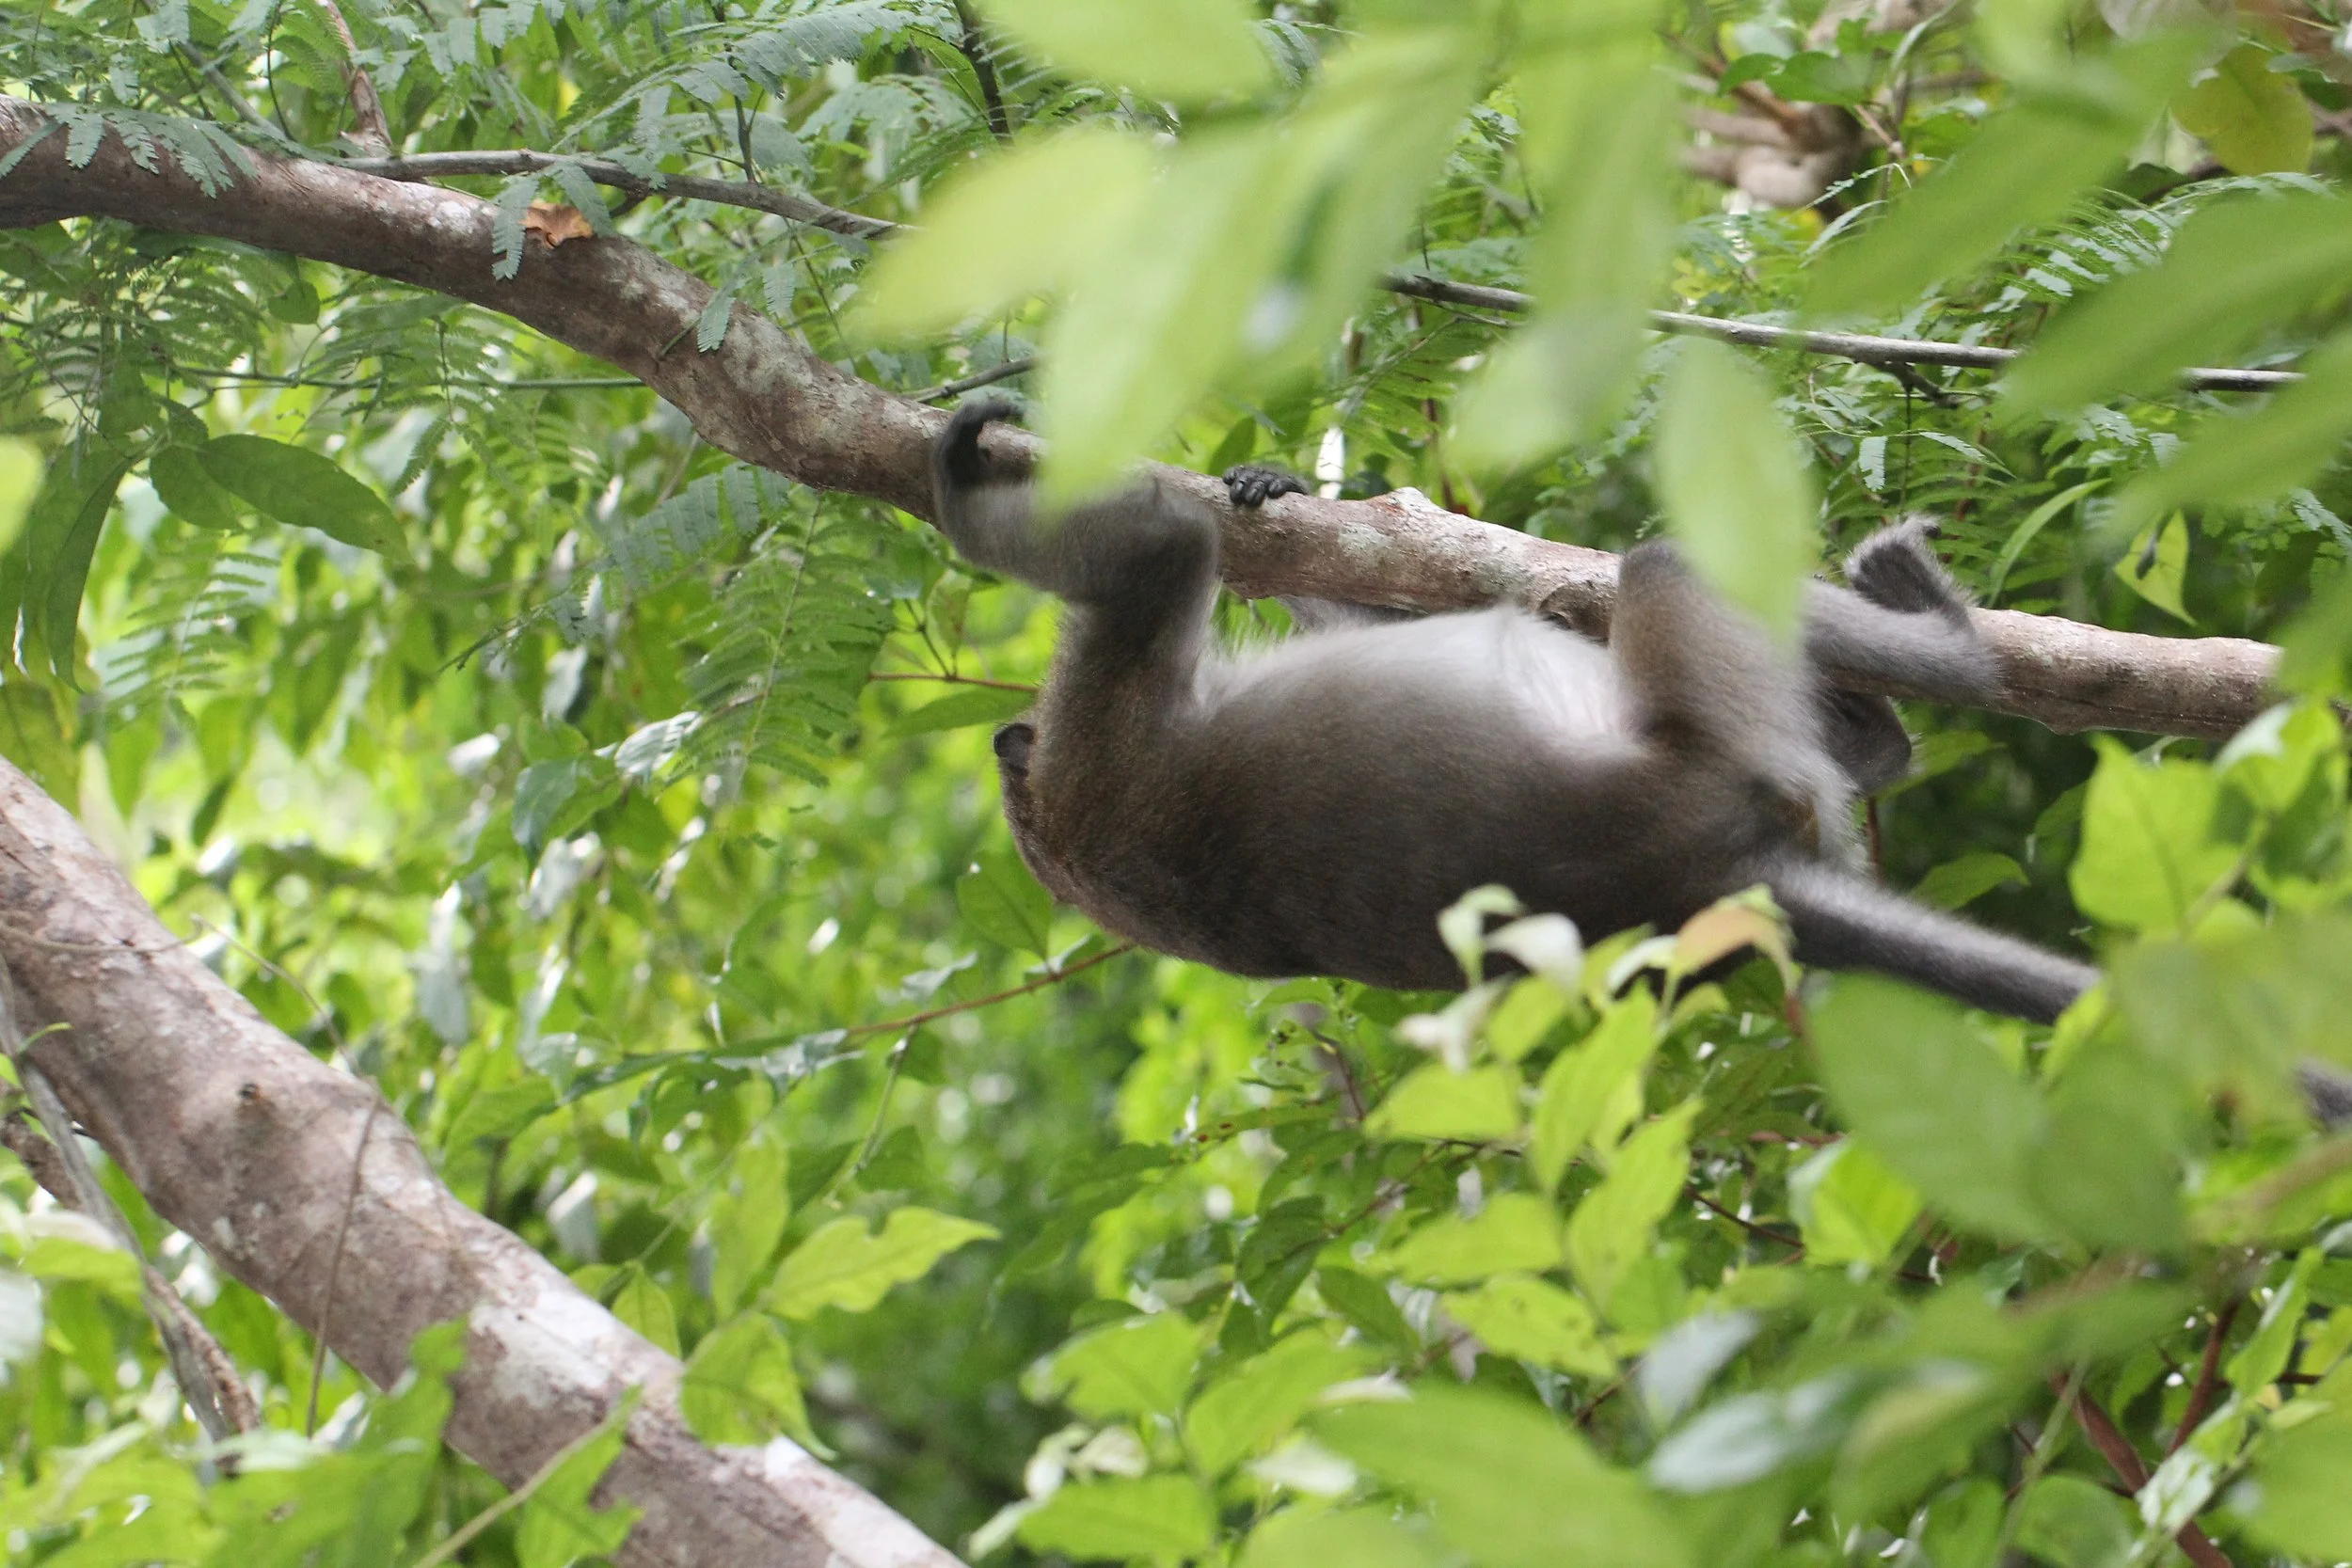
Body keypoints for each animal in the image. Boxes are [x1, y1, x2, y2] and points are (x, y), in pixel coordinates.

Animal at [933, 400, 2100, 1023]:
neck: (1061, 836)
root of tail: (1709, 881)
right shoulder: (1092, 731)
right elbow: (1168, 552)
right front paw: (952, 488)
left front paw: (1274, 483)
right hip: (1741, 753)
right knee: (1663, 569)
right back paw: (1941, 652)